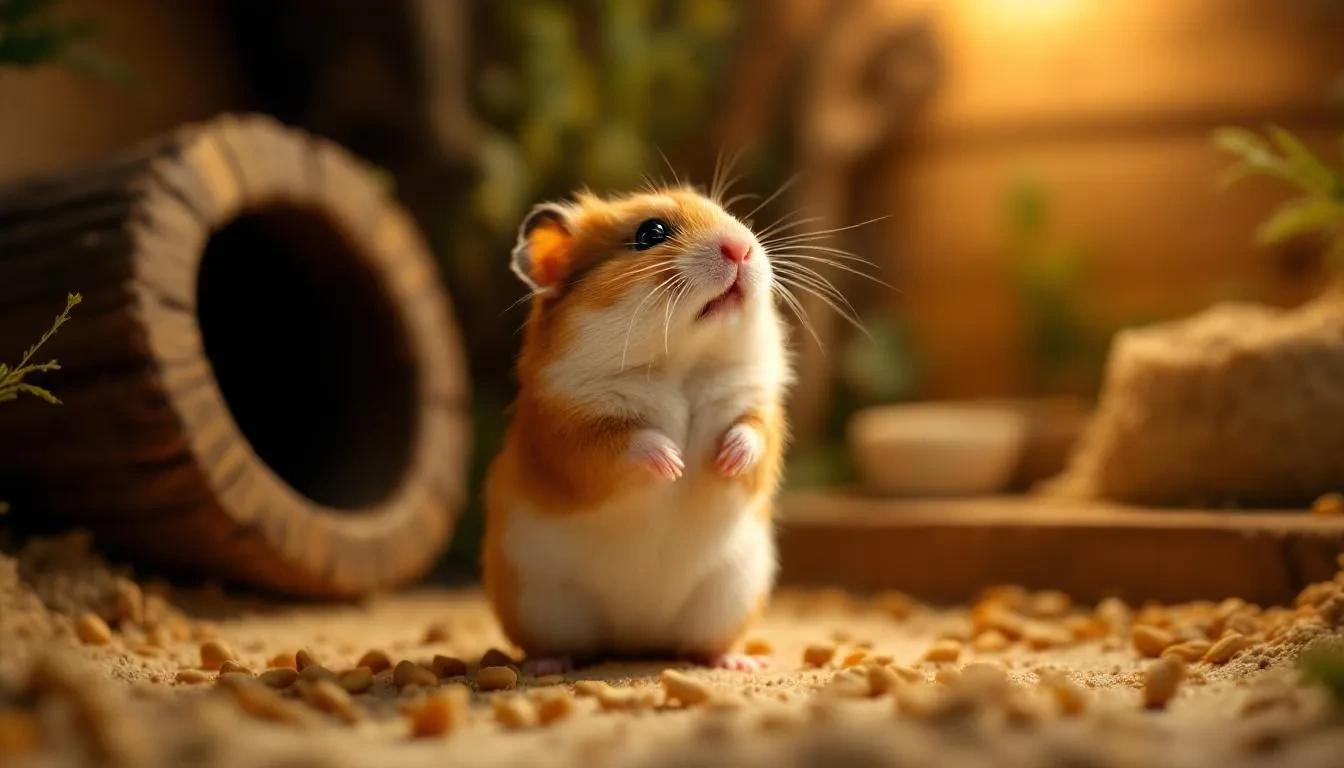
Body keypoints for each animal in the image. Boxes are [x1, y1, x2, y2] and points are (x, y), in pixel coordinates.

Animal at [482, 184, 793, 674]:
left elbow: (753, 438)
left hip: (730, 596)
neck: (682, 361)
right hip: (540, 605)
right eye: (651, 233)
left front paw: (723, 460)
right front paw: (674, 464)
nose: (741, 248)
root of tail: (636, 637)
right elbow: (628, 444)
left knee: (703, 645)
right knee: (558, 645)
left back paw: (738, 663)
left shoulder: (759, 405)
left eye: (726, 212)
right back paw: (544, 666)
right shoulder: (569, 435)